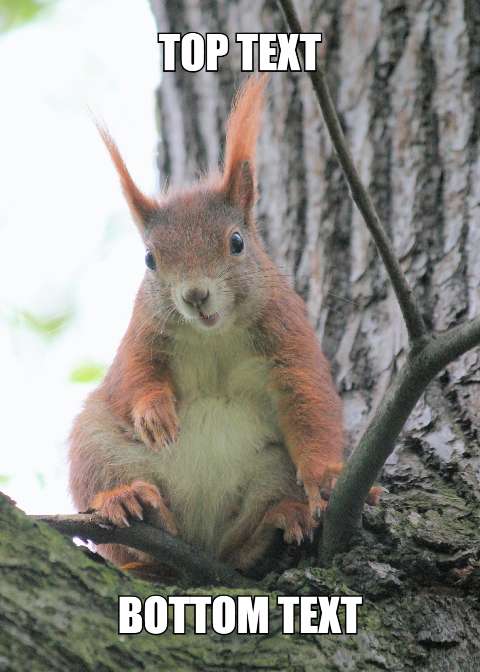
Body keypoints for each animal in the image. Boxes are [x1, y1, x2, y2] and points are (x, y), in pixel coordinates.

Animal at [68, 75, 346, 573]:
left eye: (237, 242)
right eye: (149, 259)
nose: (195, 295)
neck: (214, 334)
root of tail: (197, 544)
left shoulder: (288, 336)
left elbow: (310, 401)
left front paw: (323, 480)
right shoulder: (141, 334)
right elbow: (135, 375)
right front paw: (154, 412)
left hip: (270, 472)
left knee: (240, 545)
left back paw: (278, 520)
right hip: (97, 446)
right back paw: (131, 502)